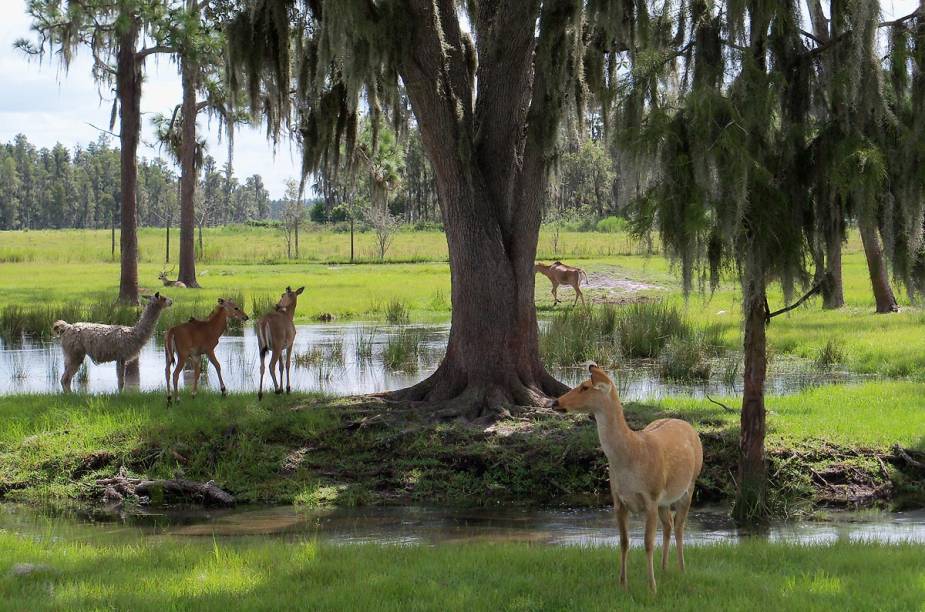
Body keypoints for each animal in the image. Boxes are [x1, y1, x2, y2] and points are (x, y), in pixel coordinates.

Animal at [548, 364, 700, 592]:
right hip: (665, 500)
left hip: (689, 485)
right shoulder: (618, 500)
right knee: (668, 525)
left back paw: (681, 569)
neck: (631, 457)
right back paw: (664, 568)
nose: (555, 402)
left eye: (585, 387)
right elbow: (624, 541)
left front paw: (652, 587)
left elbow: (647, 543)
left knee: (680, 526)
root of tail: (688, 425)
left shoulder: (651, 496)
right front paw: (622, 583)